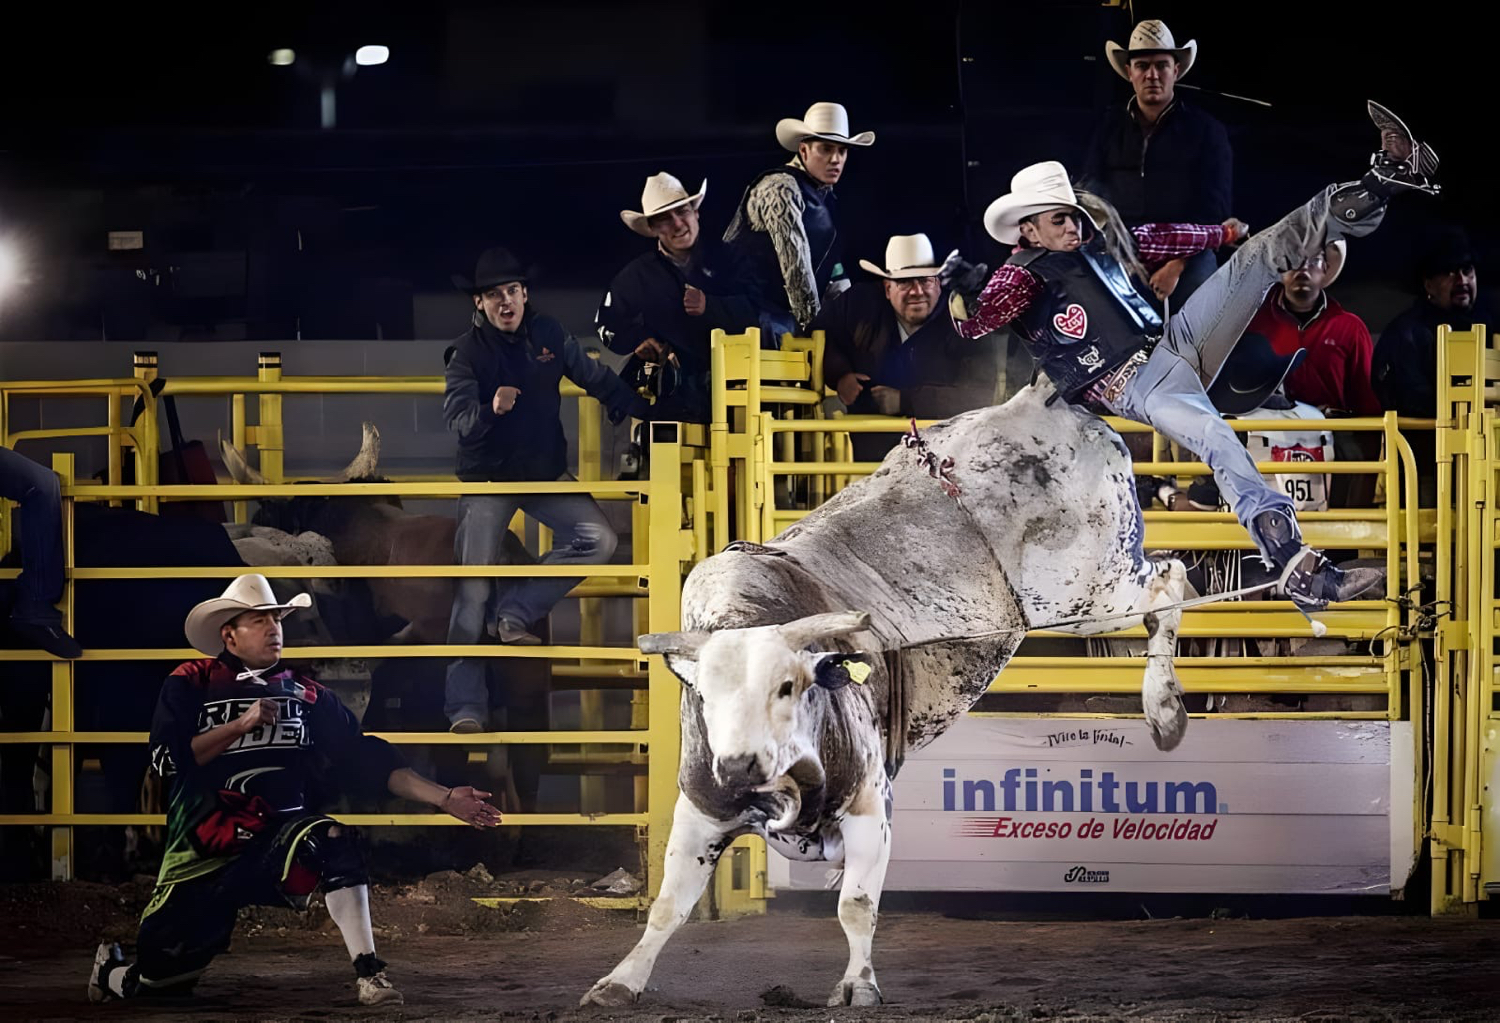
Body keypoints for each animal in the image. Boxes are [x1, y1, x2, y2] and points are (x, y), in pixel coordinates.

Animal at [579, 384, 1188, 1002]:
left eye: (788, 687)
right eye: (704, 696)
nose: (740, 764)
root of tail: (1037, 399)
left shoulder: (870, 804)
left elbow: (856, 905)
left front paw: (858, 985)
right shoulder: (701, 810)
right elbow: (668, 907)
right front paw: (620, 981)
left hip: (1090, 591)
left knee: (1170, 583)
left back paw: (1165, 713)